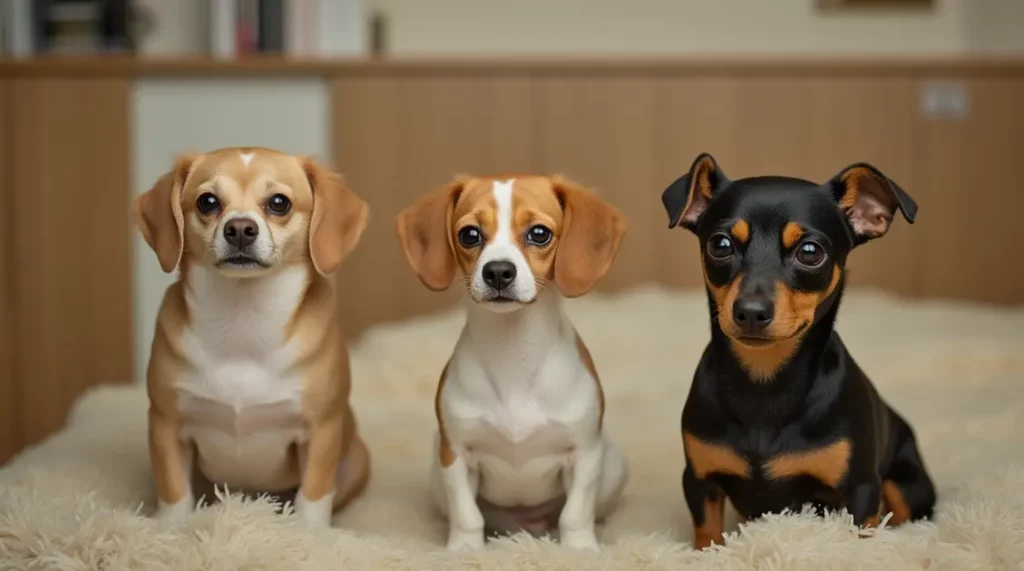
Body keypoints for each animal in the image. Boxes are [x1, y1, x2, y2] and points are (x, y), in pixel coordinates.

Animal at [133, 146, 372, 528]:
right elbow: (173, 490)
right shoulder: (165, 424)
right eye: (207, 201)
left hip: (356, 460)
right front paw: (170, 528)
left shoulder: (322, 429)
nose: (240, 228)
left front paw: (310, 532)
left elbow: (314, 495)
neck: (242, 324)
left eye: (279, 203)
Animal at [395, 177, 626, 552]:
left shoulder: (584, 453)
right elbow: (467, 514)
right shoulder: (455, 454)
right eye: (470, 235)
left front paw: (579, 548)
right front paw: (464, 549)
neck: (514, 356)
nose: (498, 271)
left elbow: (575, 513)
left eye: (539, 233)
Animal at [663, 153, 937, 552]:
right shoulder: (700, 481)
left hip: (908, 484)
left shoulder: (860, 490)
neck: (764, 380)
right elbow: (707, 536)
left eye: (810, 252)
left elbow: (862, 537)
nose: (750, 311)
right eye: (720, 245)